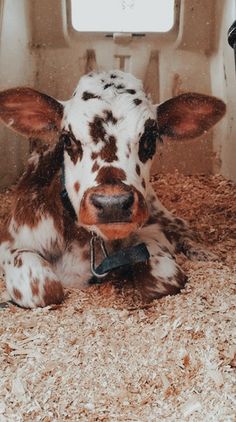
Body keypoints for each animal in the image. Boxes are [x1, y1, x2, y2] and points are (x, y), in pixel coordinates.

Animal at [0, 71, 226, 308]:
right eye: (67, 139)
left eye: (150, 138)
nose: (112, 204)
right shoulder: (10, 243)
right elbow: (44, 288)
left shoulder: (154, 233)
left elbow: (164, 277)